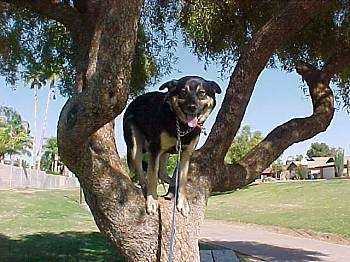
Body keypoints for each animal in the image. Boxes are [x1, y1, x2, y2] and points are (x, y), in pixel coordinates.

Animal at [124, 75, 220, 215]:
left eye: (202, 93)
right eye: (183, 92)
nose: (192, 107)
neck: (181, 126)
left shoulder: (185, 154)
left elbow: (182, 180)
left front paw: (183, 202)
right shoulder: (155, 150)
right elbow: (152, 176)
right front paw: (152, 200)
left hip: (166, 152)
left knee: (162, 173)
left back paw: (172, 184)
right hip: (135, 146)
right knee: (142, 171)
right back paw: (145, 186)